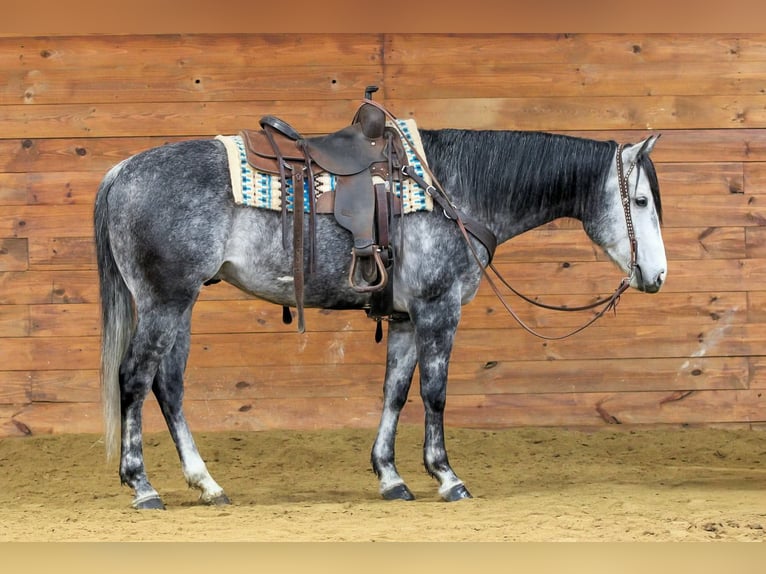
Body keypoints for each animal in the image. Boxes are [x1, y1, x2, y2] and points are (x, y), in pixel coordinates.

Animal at [94, 117, 666, 509]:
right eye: (639, 201)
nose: (657, 276)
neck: (453, 190)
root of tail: (121, 171)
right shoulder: (438, 310)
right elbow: (434, 394)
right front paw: (447, 476)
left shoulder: (407, 319)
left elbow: (395, 392)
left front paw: (391, 476)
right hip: (166, 301)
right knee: (135, 378)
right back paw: (142, 485)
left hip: (180, 304)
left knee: (168, 385)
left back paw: (207, 484)